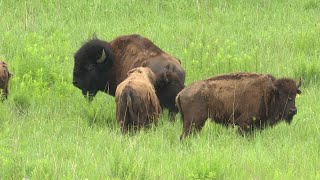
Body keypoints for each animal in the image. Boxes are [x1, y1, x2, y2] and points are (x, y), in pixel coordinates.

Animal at [176, 72, 304, 140]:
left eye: (294, 94)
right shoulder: (245, 125)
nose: (293, 110)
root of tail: (181, 93)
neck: (268, 92)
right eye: (281, 95)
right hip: (194, 122)